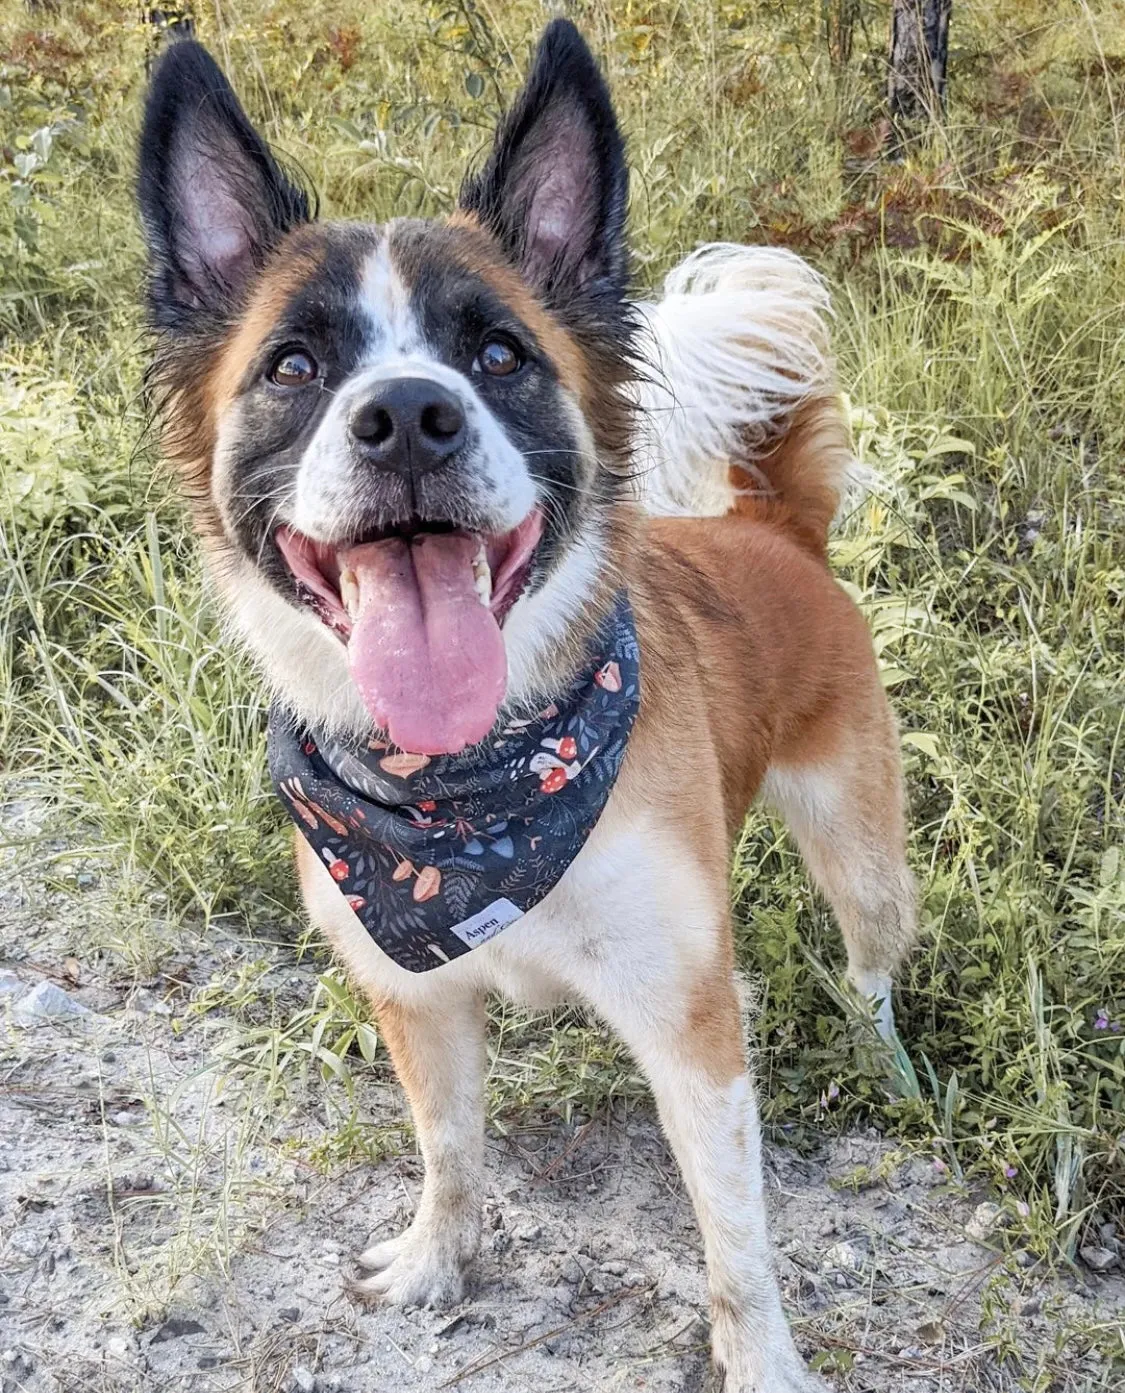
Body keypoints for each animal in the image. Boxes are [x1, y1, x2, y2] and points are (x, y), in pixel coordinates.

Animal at [138, 16, 913, 1387]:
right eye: (294, 364)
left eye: (498, 353)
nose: (407, 416)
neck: (470, 800)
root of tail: (777, 530)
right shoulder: (413, 991)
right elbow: (450, 1147)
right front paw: (440, 1260)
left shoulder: (691, 1027)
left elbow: (737, 1238)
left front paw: (763, 1360)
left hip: (858, 845)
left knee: (871, 960)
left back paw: (882, 1056)